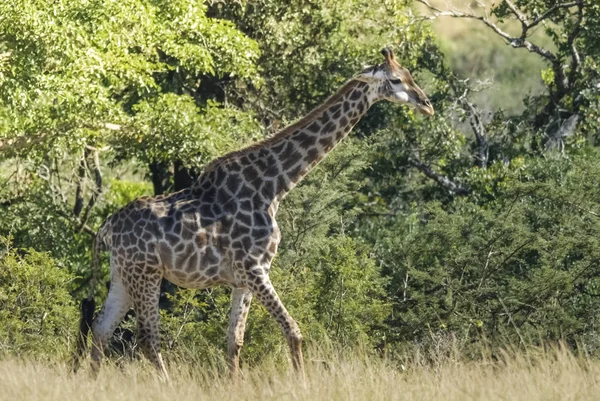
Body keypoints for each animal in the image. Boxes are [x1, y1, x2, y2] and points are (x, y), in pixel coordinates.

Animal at [74, 47, 432, 378]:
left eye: (410, 74)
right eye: (396, 80)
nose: (426, 103)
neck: (274, 187)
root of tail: (106, 228)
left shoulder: (243, 278)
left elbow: (234, 341)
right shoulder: (255, 268)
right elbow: (293, 330)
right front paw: (303, 384)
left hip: (123, 274)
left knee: (101, 329)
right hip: (146, 274)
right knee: (147, 339)